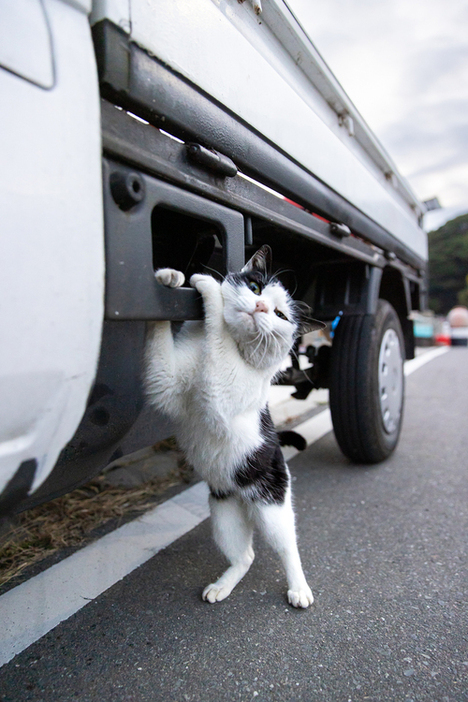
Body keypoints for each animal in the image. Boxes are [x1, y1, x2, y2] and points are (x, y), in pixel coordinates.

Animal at [146, 248, 326, 612]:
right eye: (255, 287)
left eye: (281, 315)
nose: (260, 307)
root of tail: (246, 501)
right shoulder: (167, 383)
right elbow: (165, 363)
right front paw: (171, 277)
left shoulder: (222, 391)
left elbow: (219, 333)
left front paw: (209, 287)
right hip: (223, 514)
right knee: (246, 556)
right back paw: (221, 587)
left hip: (273, 508)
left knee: (288, 547)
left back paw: (299, 589)